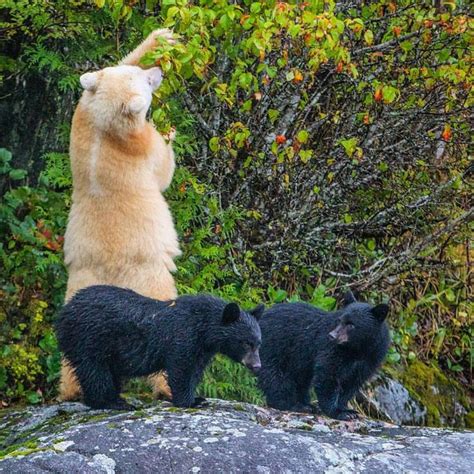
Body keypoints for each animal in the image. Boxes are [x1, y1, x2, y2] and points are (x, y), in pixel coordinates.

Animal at [61, 28, 180, 400]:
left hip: (79, 290)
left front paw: (161, 38)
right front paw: (170, 131)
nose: (157, 72)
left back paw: (73, 390)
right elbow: (162, 169)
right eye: (145, 82)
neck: (105, 130)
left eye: (139, 75)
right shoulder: (139, 147)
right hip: (148, 278)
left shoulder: (80, 115)